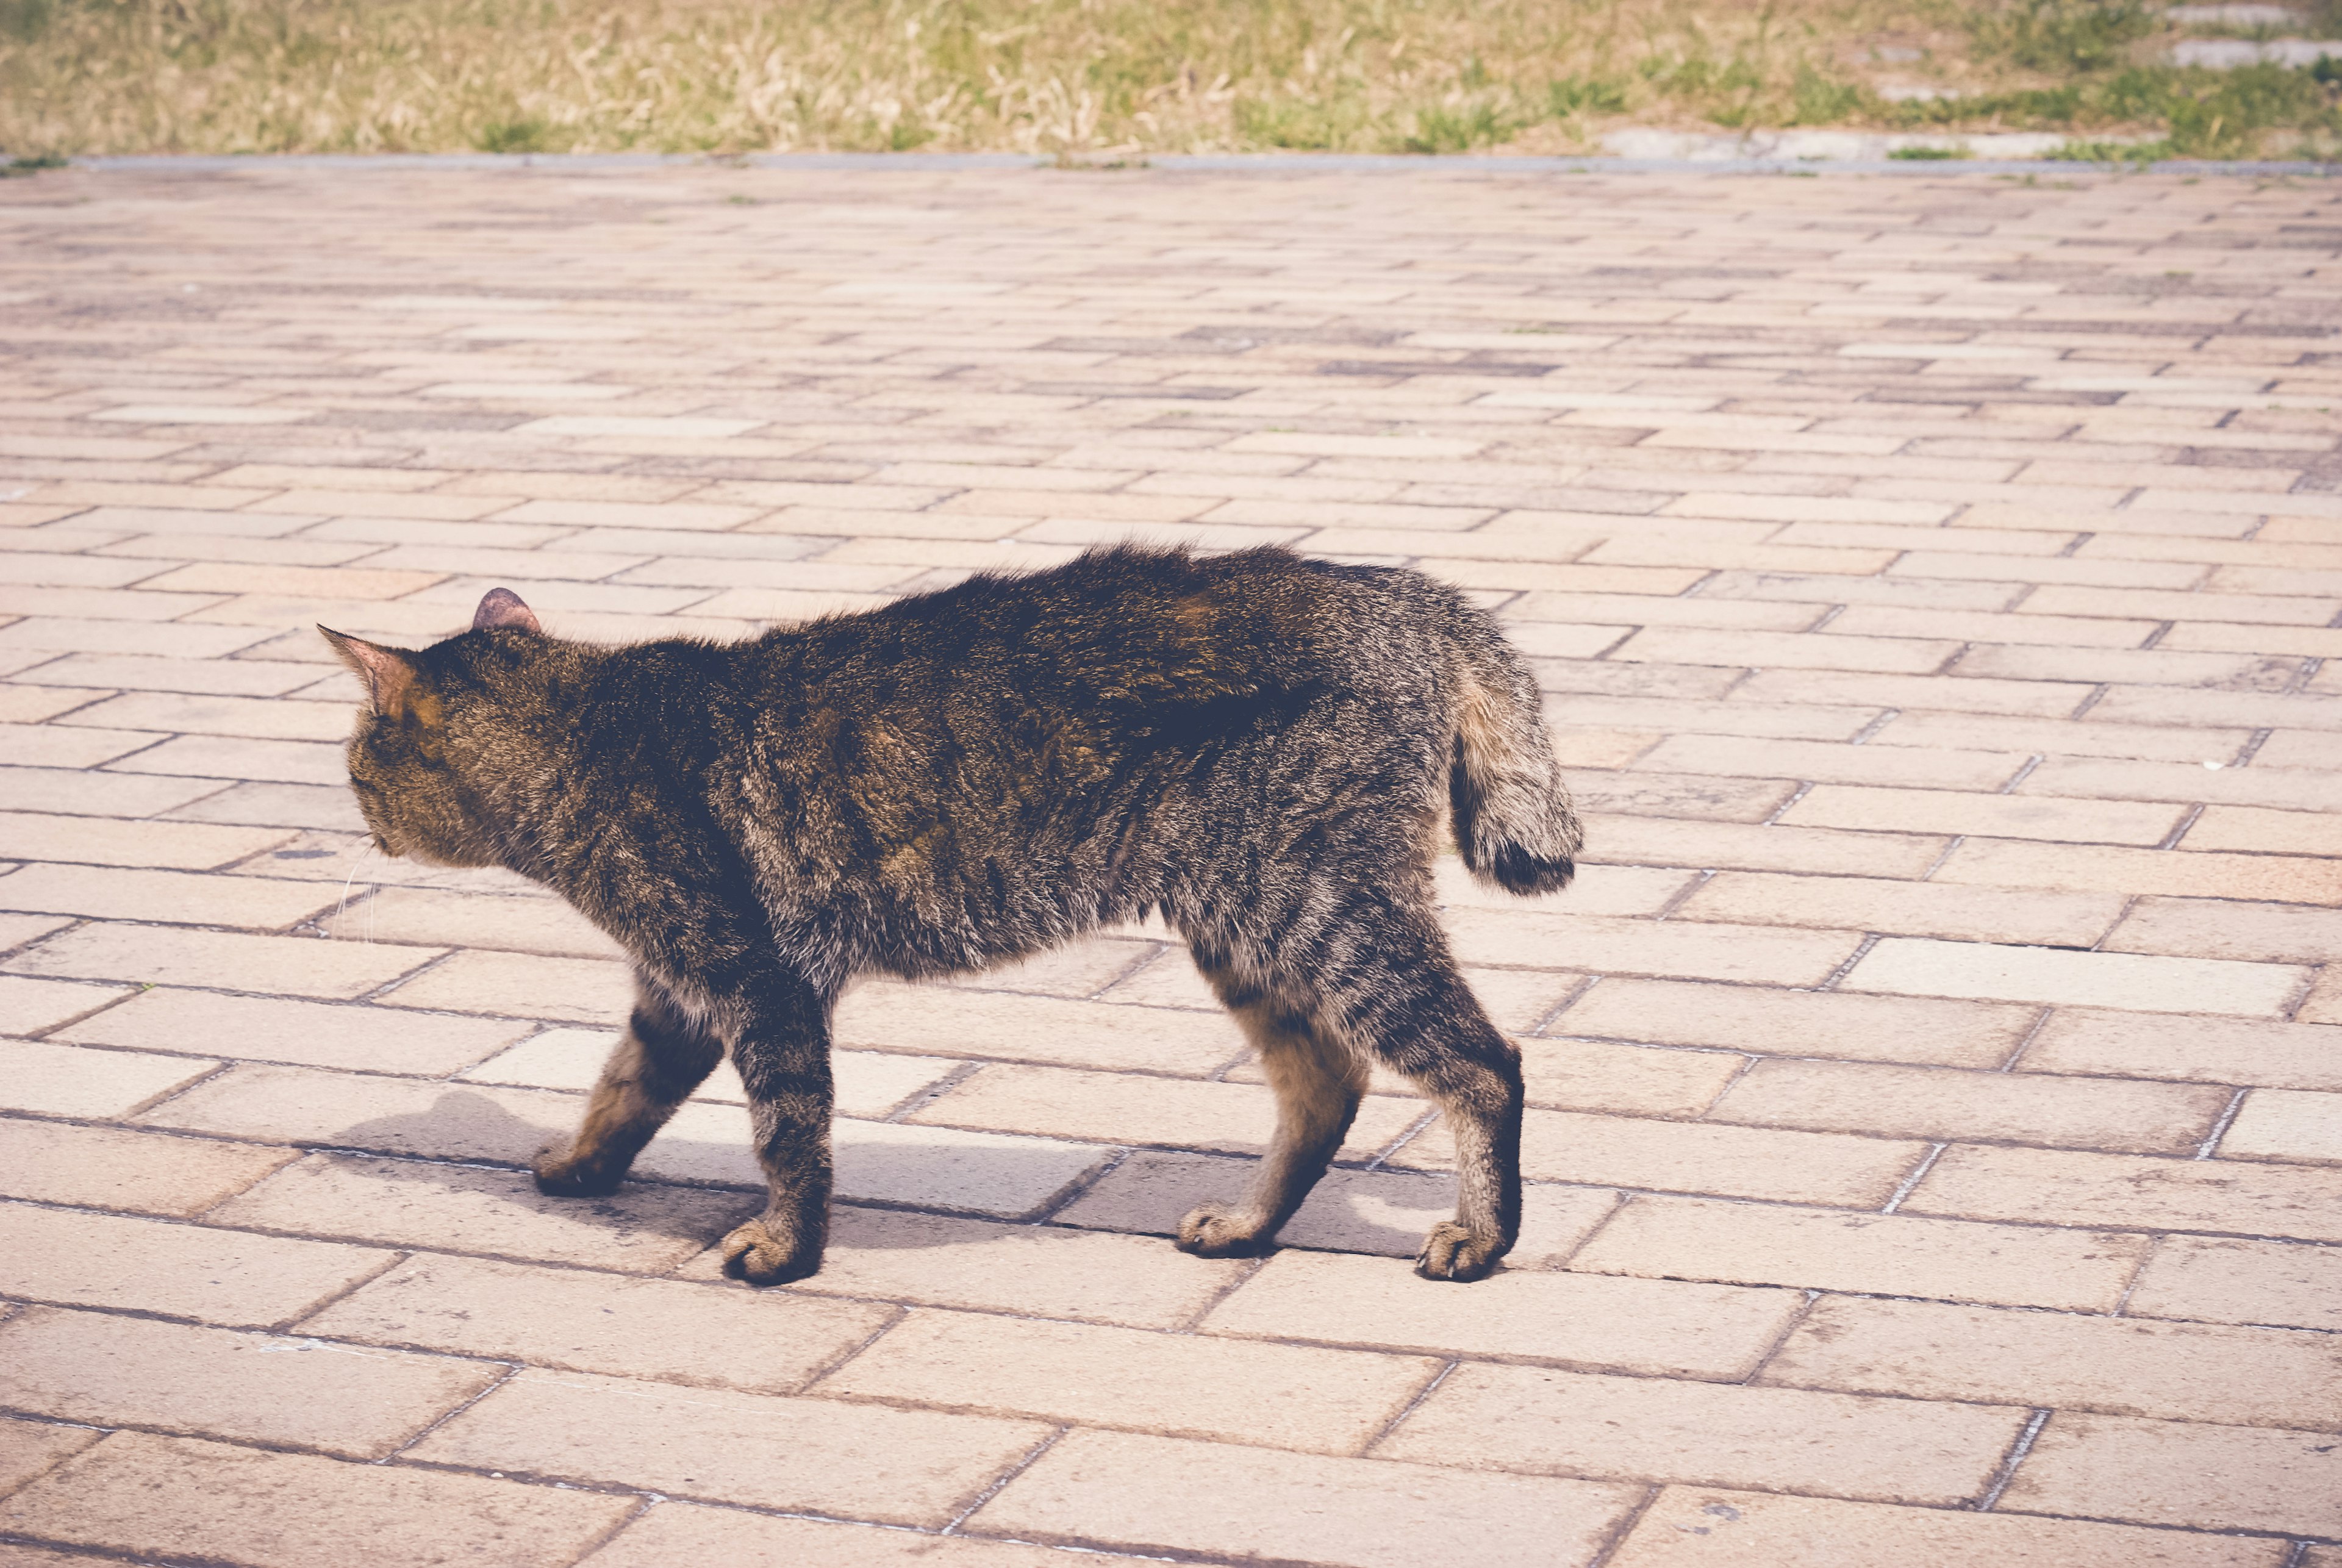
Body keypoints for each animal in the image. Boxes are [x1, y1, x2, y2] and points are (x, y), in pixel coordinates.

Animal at [325, 547, 1574, 1282]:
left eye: (352, 764)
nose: (355, 810)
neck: (585, 727)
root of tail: (1403, 593)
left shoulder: (757, 979)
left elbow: (789, 1135)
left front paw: (784, 1249)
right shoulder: (679, 994)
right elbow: (621, 1092)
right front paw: (580, 1167)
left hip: (1317, 904)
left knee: (1481, 1061)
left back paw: (1483, 1235)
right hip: (1245, 920)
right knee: (1326, 1084)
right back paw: (1249, 1224)